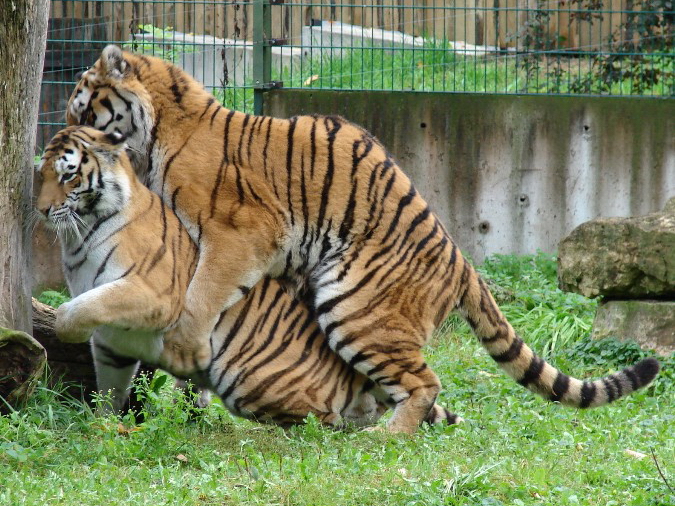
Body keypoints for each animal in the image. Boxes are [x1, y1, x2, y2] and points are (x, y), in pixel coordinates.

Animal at [36, 125, 460, 427]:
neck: (78, 237)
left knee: (335, 416)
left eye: (69, 175)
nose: (40, 210)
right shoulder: (114, 347)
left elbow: (82, 307)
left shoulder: (155, 293)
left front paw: (64, 329)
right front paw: (104, 425)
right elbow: (111, 387)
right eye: (41, 174)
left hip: (252, 384)